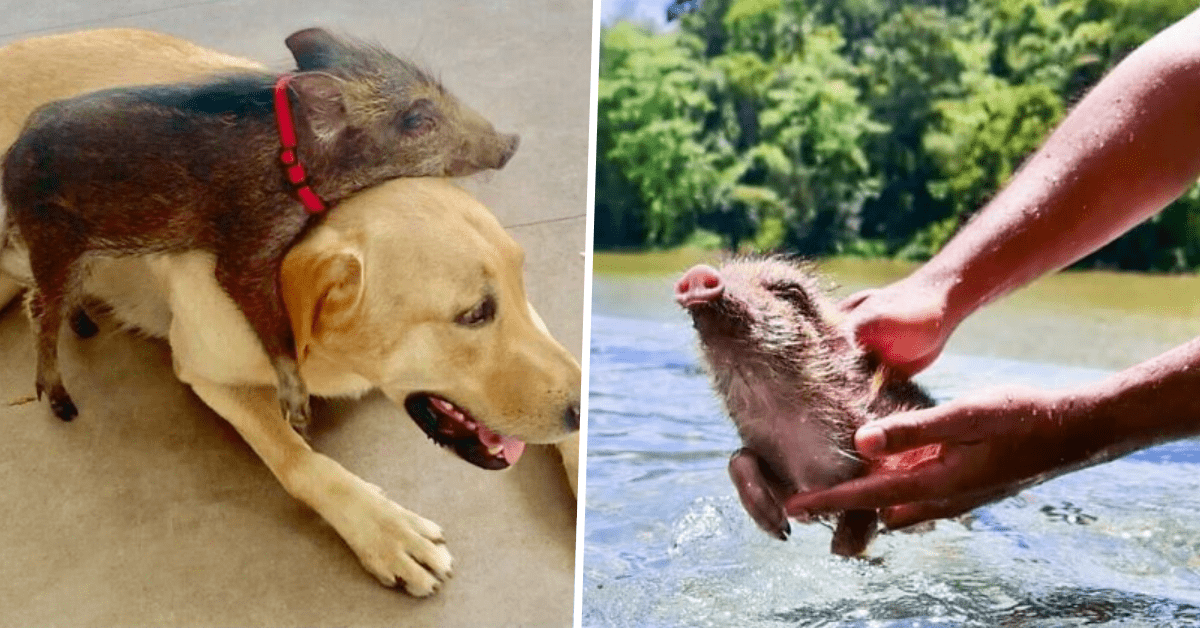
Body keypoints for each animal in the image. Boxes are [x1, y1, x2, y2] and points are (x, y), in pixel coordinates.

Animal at [0, 30, 580, 600]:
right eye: (474, 314)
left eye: (521, 282)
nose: (510, 143)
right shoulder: (212, 372)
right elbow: (299, 460)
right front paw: (384, 529)